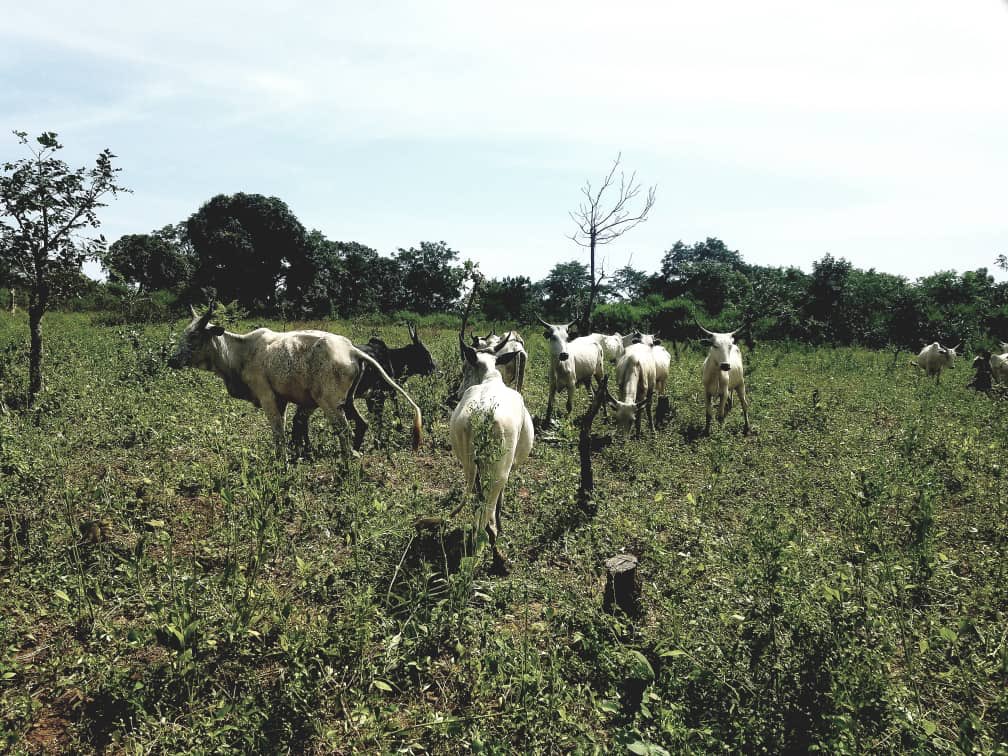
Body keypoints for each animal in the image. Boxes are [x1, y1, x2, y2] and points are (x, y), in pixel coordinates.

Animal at [169, 304, 421, 461]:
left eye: (194, 336)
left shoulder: (268, 397)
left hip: (329, 403)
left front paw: (282, 462)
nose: (171, 360)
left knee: (345, 430)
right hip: (346, 401)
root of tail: (351, 349)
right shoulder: (285, 401)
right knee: (361, 424)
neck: (243, 352)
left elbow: (278, 433)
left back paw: (348, 462)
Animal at [445, 336, 532, 572]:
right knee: (487, 511)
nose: (455, 394)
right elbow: (500, 503)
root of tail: (481, 416)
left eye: (465, 367)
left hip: (471, 467)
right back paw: (498, 556)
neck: (490, 378)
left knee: (478, 505)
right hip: (497, 471)